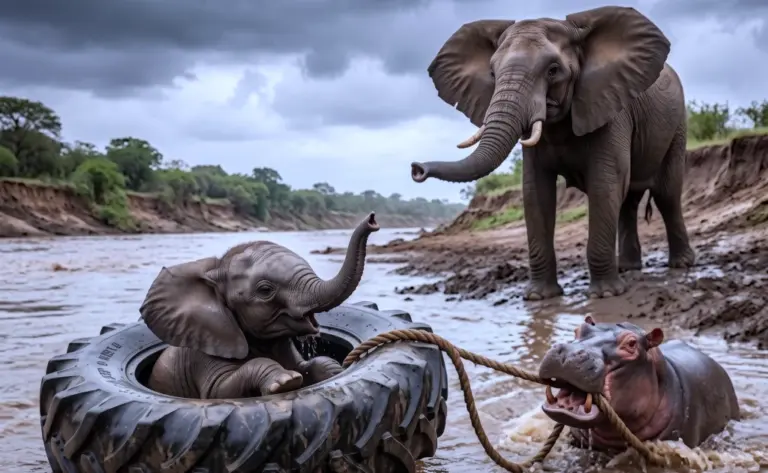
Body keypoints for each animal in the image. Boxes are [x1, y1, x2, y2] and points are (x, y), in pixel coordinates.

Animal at [139, 213, 379, 399]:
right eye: (265, 290)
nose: (373, 220)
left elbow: (309, 366)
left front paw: (334, 370)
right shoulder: (204, 352)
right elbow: (220, 391)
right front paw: (286, 381)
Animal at [410, 6, 696, 300]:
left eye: (553, 70)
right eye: (492, 73)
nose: (417, 169)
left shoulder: (610, 106)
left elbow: (604, 184)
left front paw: (605, 294)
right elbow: (536, 192)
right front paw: (539, 296)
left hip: (677, 125)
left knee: (666, 194)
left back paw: (680, 264)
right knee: (628, 199)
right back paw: (628, 269)